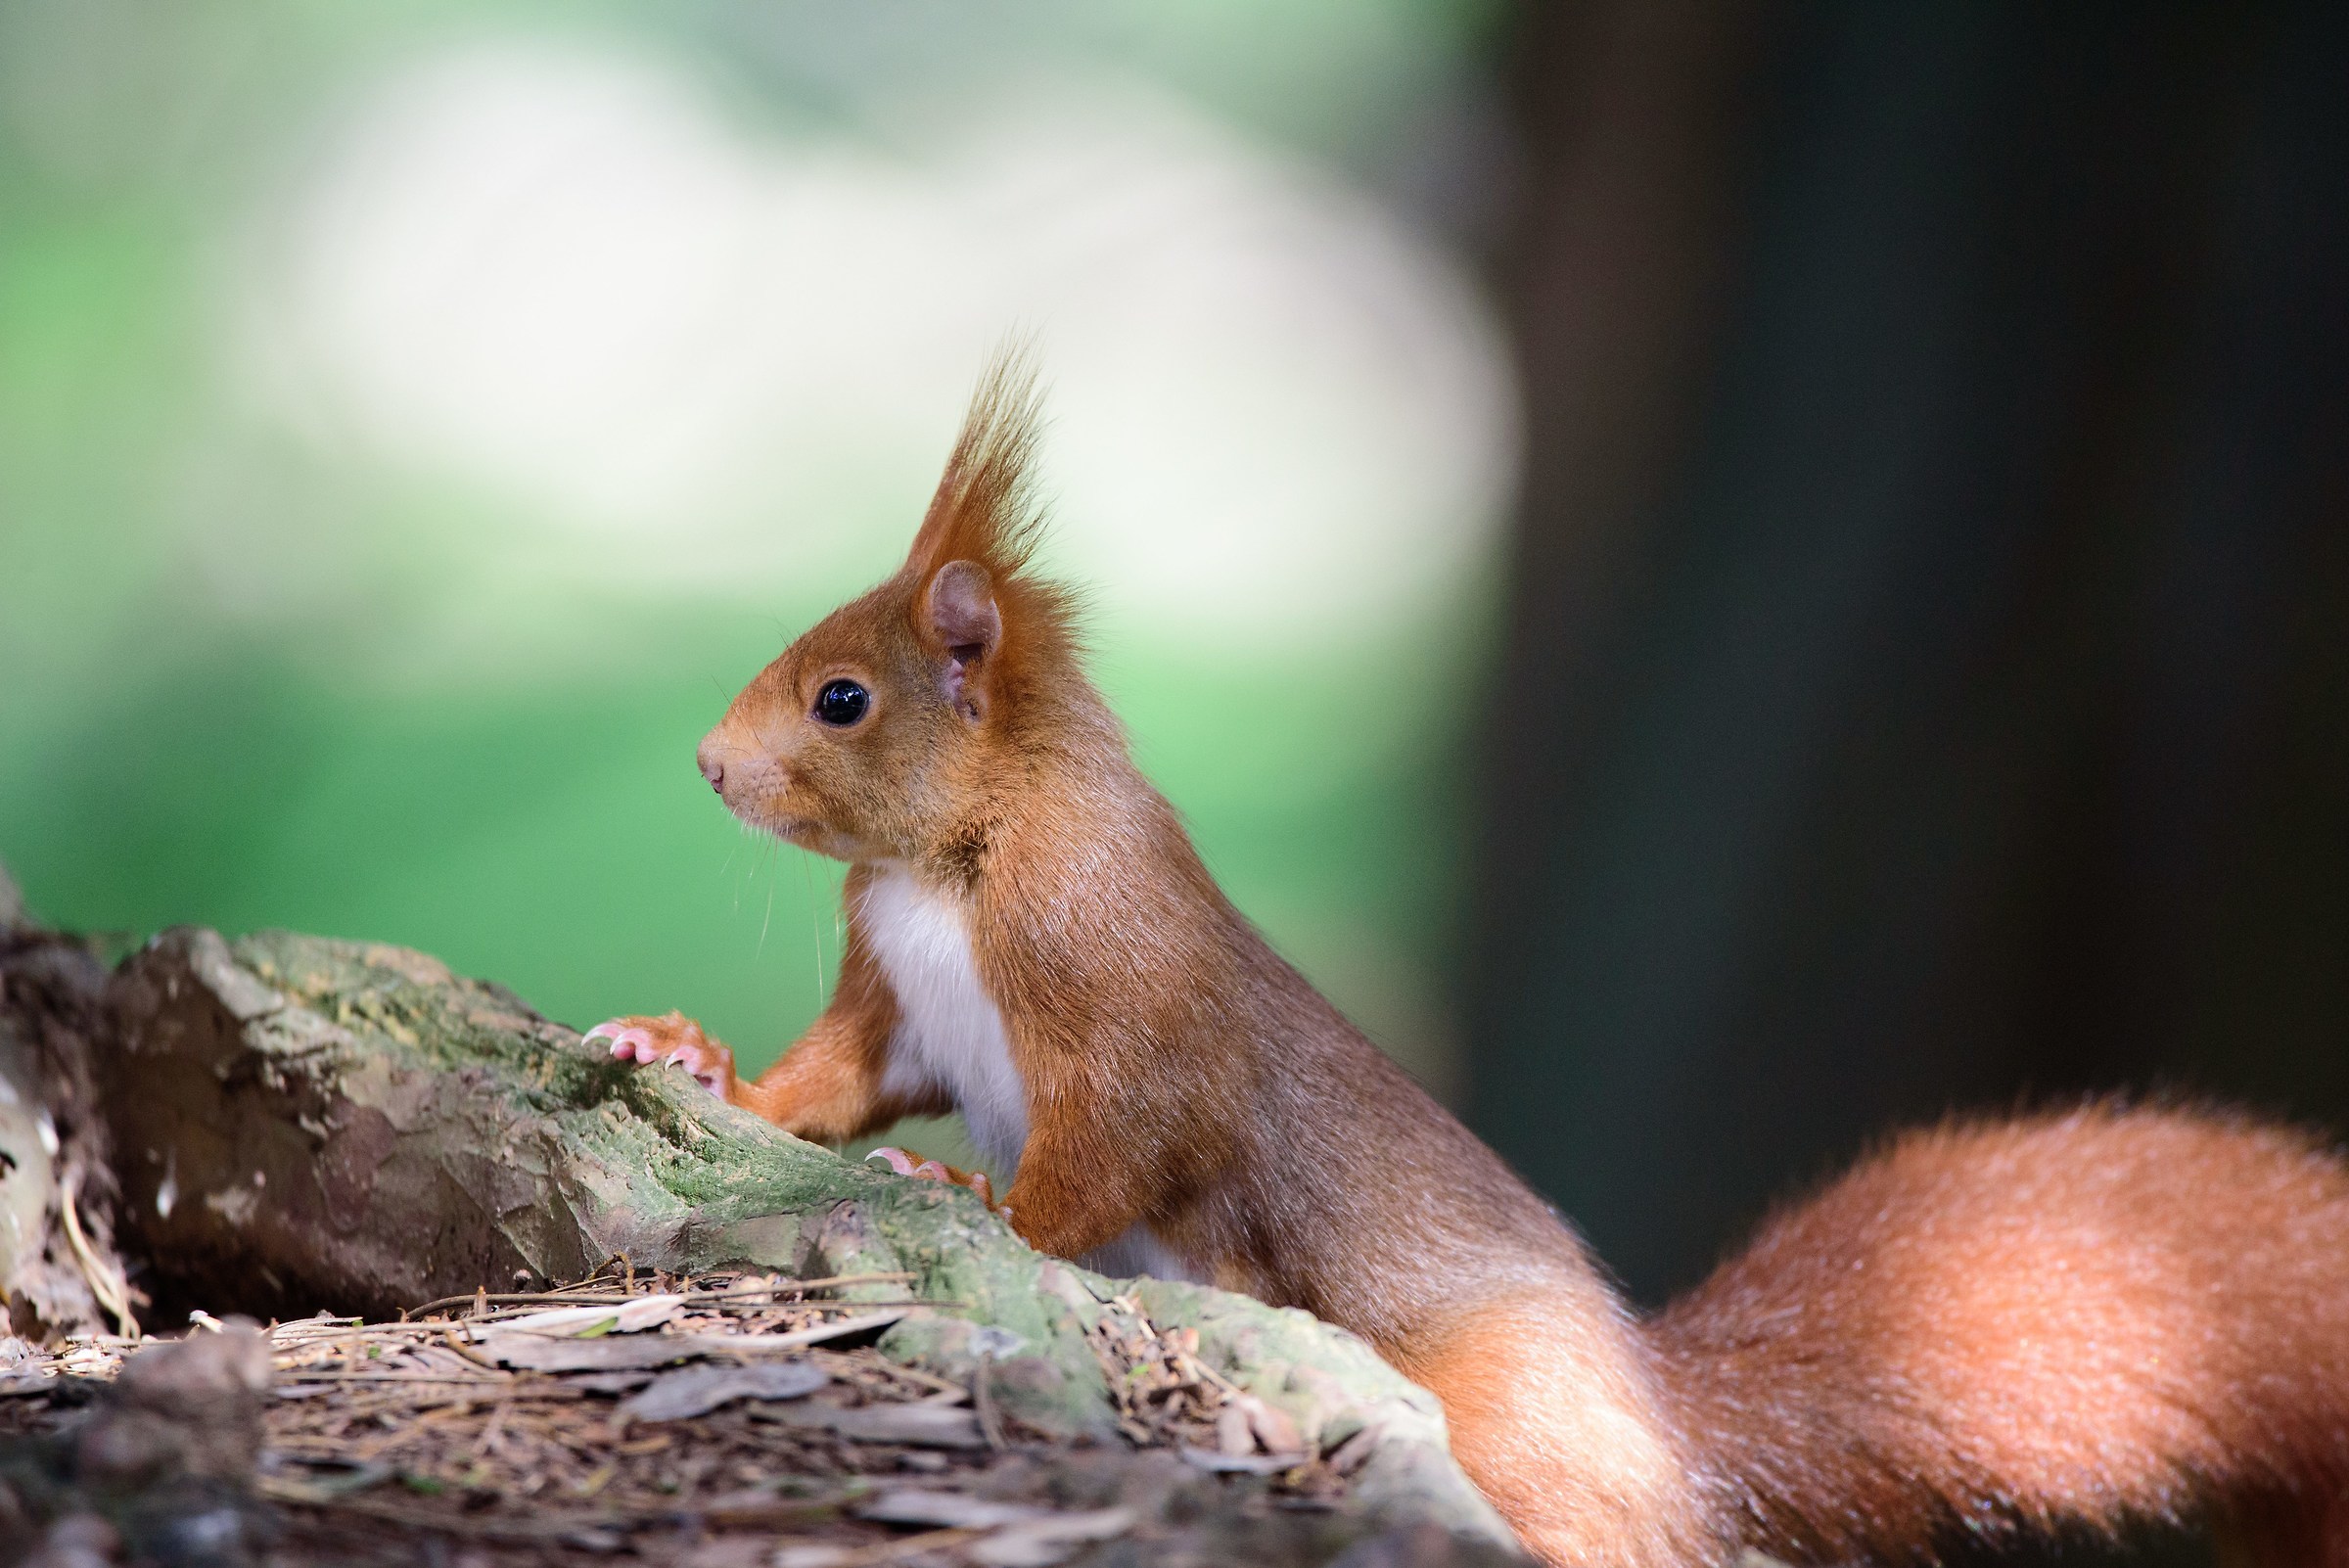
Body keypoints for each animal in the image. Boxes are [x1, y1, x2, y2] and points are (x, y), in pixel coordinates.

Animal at [585, 358, 2349, 1567]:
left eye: (843, 700)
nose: (703, 766)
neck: (946, 869)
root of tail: (1665, 1436)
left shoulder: (1123, 1007)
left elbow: (1106, 1156)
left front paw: (975, 1198)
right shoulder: (898, 1007)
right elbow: (825, 1086)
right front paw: (687, 1053)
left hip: (1495, 1407)